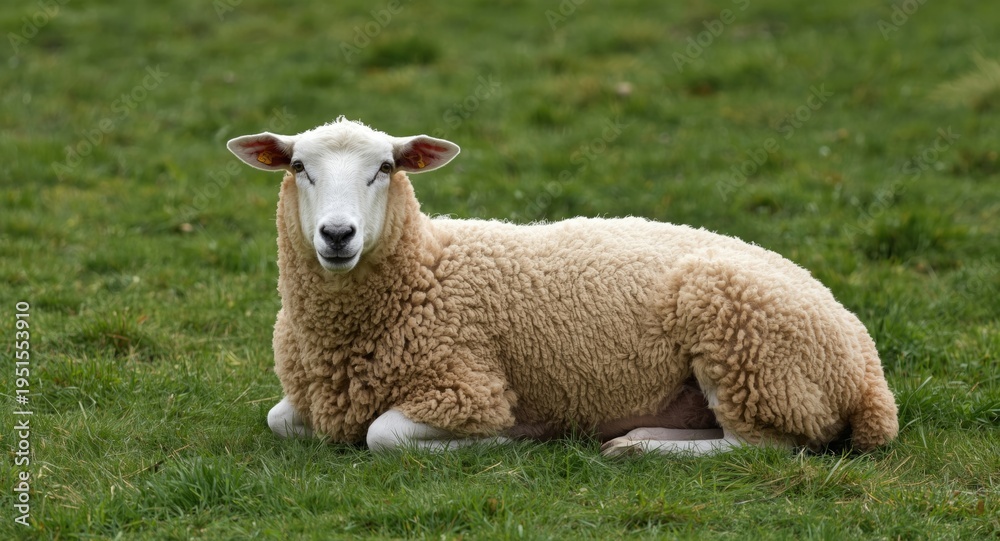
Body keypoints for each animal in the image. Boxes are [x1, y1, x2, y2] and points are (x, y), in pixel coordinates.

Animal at [226, 116, 899, 456]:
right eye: (298, 166)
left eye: (385, 168)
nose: (337, 235)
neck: (426, 268)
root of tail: (872, 381)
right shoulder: (309, 399)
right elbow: (278, 420)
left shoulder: (467, 388)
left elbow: (383, 436)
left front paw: (499, 442)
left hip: (747, 345)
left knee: (763, 446)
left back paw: (635, 447)